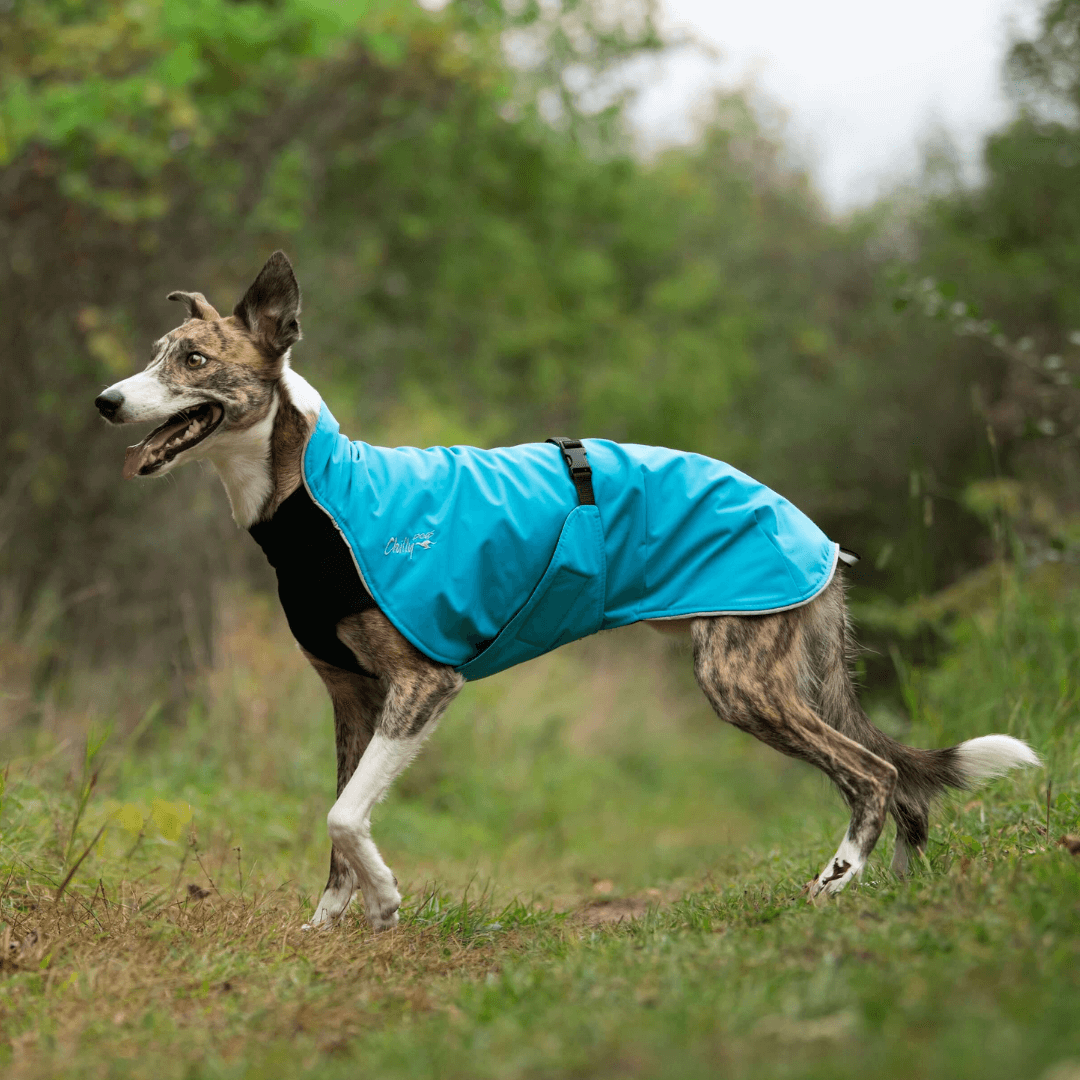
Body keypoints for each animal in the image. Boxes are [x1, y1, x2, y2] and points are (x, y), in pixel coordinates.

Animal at [97, 250, 1041, 928]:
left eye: (192, 359)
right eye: (153, 356)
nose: (105, 402)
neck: (312, 495)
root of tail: (810, 531)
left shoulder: (423, 685)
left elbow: (345, 815)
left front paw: (388, 899)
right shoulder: (350, 697)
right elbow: (338, 819)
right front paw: (331, 925)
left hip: (740, 678)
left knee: (872, 773)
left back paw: (836, 884)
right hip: (778, 675)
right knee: (900, 781)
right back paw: (900, 894)